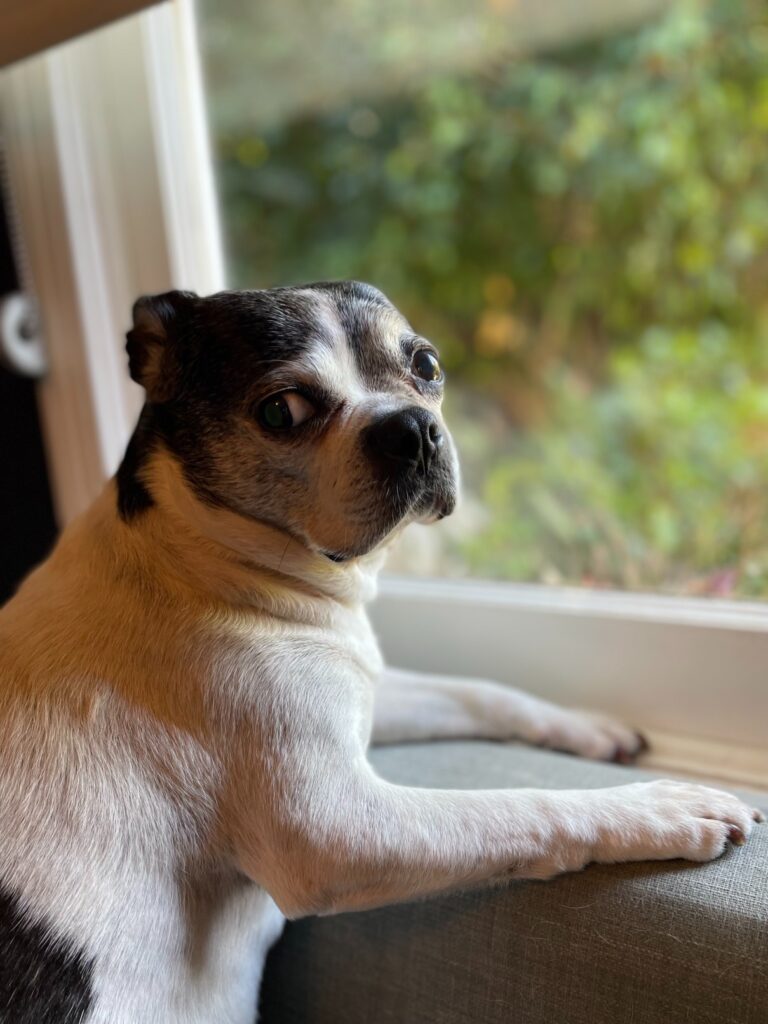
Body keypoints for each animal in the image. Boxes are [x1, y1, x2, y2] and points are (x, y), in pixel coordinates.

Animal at [0, 280, 761, 1024]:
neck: (201, 559)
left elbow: (483, 692)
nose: (412, 427)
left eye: (426, 365)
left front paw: (586, 727)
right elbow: (520, 809)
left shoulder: (368, 690)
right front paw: (659, 809)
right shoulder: (339, 828)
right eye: (282, 411)